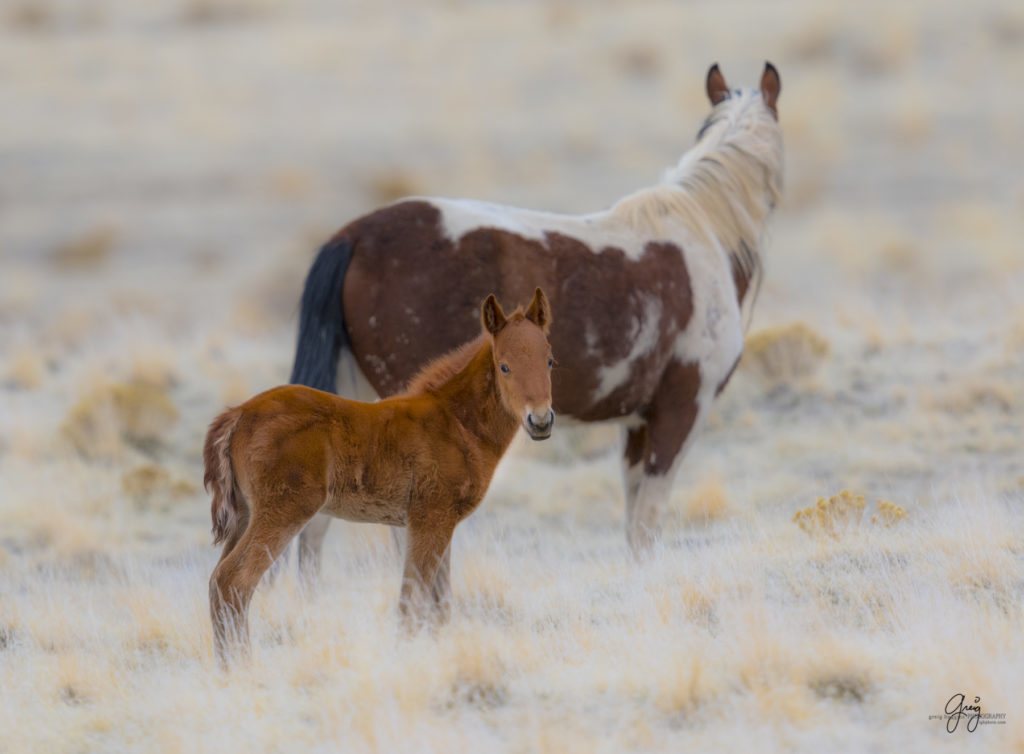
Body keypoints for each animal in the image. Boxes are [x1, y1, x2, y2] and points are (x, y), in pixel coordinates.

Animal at [205, 290, 552, 663]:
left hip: (244, 516)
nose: (540, 421)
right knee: (234, 581)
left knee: (217, 583)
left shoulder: (431, 525)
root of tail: (238, 414)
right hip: (283, 512)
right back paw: (241, 666)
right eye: (504, 366)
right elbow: (412, 601)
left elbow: (439, 605)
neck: (455, 422)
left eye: (550, 361)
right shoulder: (430, 519)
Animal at [292, 61, 786, 561]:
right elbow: (648, 523)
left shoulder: (636, 421)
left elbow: (634, 524)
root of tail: (353, 237)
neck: (705, 234)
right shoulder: (680, 409)